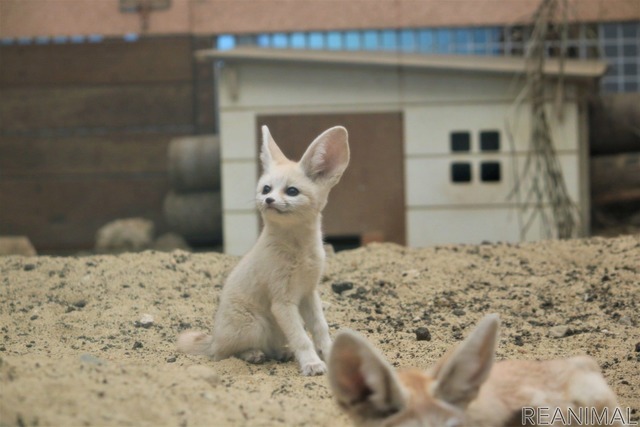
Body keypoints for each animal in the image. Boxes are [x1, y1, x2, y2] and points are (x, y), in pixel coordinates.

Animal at [176, 125, 350, 376]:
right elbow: (301, 338)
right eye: (266, 189)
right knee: (224, 353)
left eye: (292, 191)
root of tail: (214, 338)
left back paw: (281, 353)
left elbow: (320, 329)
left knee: (270, 347)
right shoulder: (282, 301)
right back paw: (252, 354)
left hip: (274, 329)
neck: (299, 250)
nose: (268, 200)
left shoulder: (309, 293)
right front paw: (312, 363)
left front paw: (328, 355)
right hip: (256, 324)